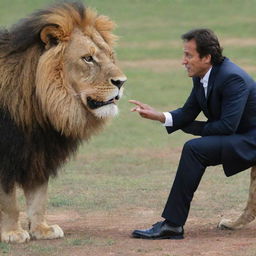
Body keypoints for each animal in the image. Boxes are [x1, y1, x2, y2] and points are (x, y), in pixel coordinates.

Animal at [0, 1, 126, 243]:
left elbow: (39, 198)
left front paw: (42, 230)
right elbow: (8, 202)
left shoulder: (40, 152)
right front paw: (12, 233)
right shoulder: (6, 157)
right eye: (88, 58)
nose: (121, 82)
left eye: (110, 55)